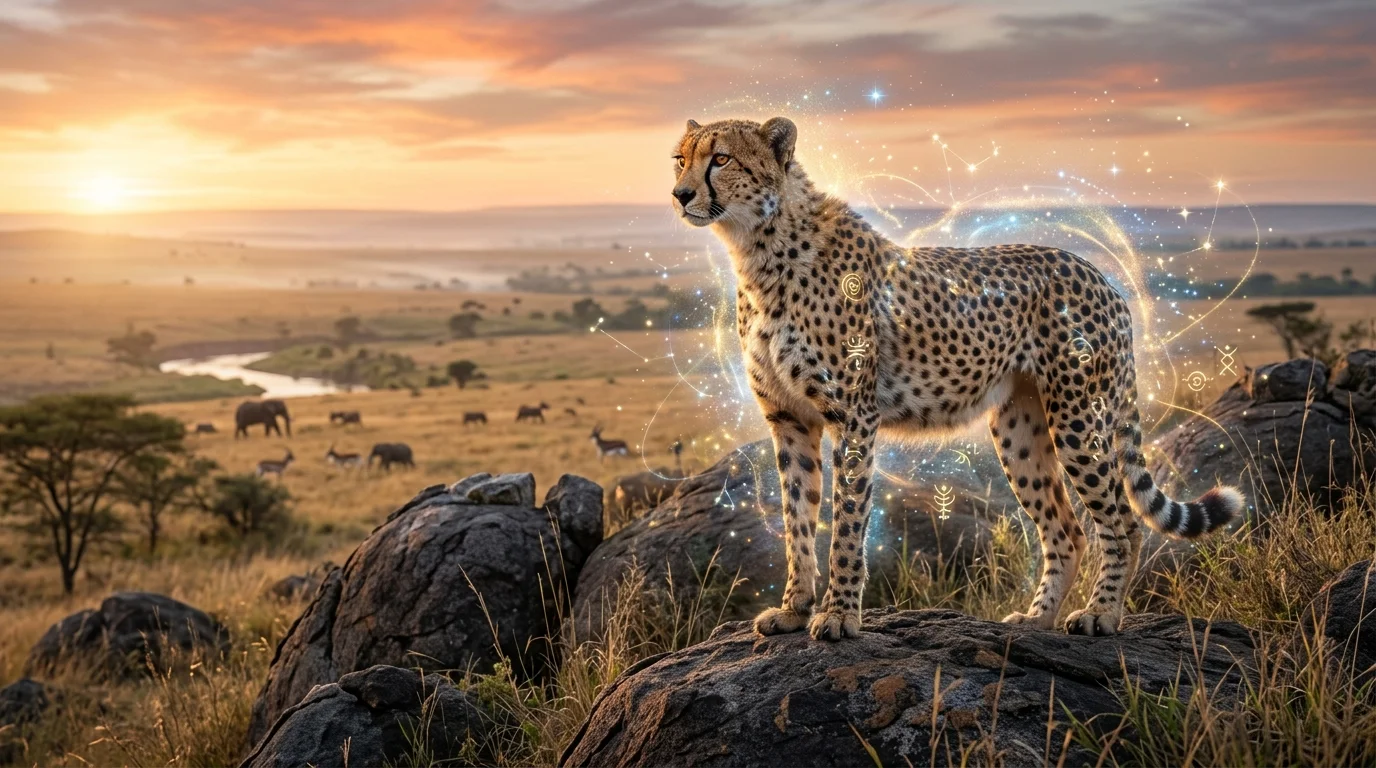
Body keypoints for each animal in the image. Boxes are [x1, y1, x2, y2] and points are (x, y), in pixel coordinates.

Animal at [670, 116, 1244, 640]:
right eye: (680, 159)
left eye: (720, 159)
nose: (680, 195)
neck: (758, 249)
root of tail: (1102, 276)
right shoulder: (790, 419)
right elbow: (797, 519)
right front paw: (793, 609)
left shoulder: (853, 417)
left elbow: (848, 522)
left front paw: (838, 616)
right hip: (1019, 428)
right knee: (1067, 529)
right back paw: (1037, 619)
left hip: (1079, 417)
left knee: (1121, 521)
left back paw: (1101, 614)